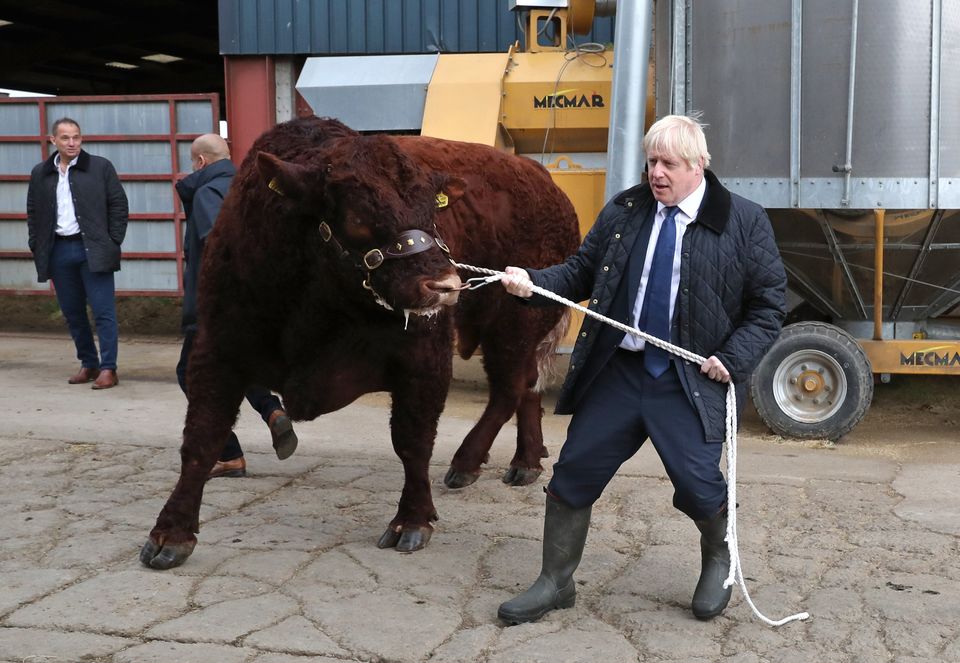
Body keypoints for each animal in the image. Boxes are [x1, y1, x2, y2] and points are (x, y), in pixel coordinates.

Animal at [140, 116, 580, 568]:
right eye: (357, 217)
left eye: (434, 212)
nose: (445, 285)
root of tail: (543, 180)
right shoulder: (217, 351)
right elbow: (201, 439)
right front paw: (170, 533)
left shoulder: (423, 359)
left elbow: (412, 441)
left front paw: (411, 521)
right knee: (526, 385)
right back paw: (525, 460)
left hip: (514, 323)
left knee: (510, 388)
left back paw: (467, 462)